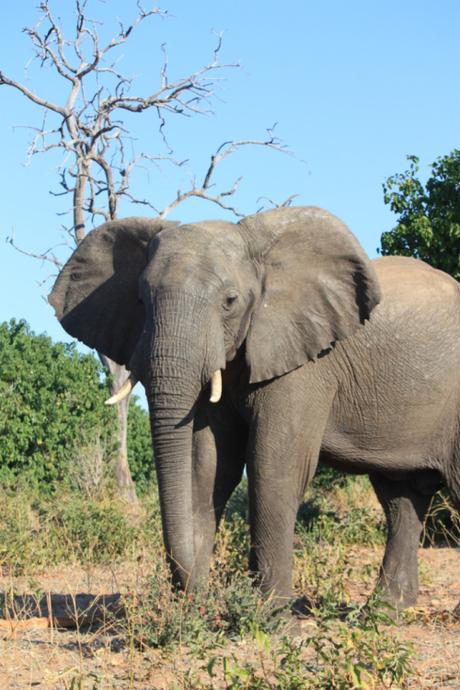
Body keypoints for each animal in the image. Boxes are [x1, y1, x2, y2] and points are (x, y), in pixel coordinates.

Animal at [49, 206, 460, 611]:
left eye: (230, 301)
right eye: (140, 300)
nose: (199, 598)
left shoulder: (305, 362)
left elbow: (272, 466)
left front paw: (271, 619)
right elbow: (209, 465)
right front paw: (199, 611)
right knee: (400, 499)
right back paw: (384, 611)